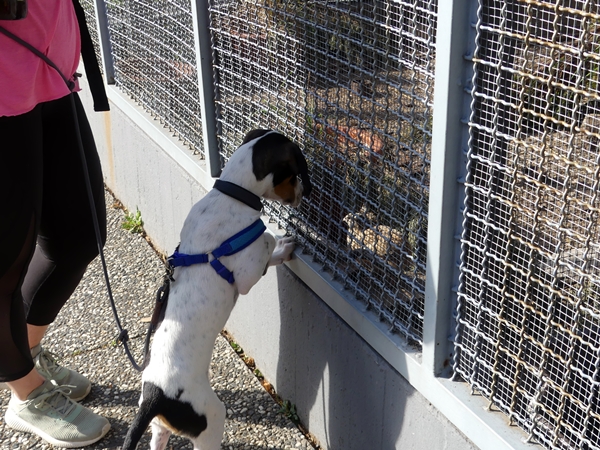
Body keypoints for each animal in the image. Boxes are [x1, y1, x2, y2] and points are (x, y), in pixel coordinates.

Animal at [122, 129, 312, 450]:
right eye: (294, 175)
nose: (301, 195)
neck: (231, 193)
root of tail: (154, 396)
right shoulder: (247, 274)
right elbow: (265, 245)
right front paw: (280, 245)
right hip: (211, 419)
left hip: (161, 428)